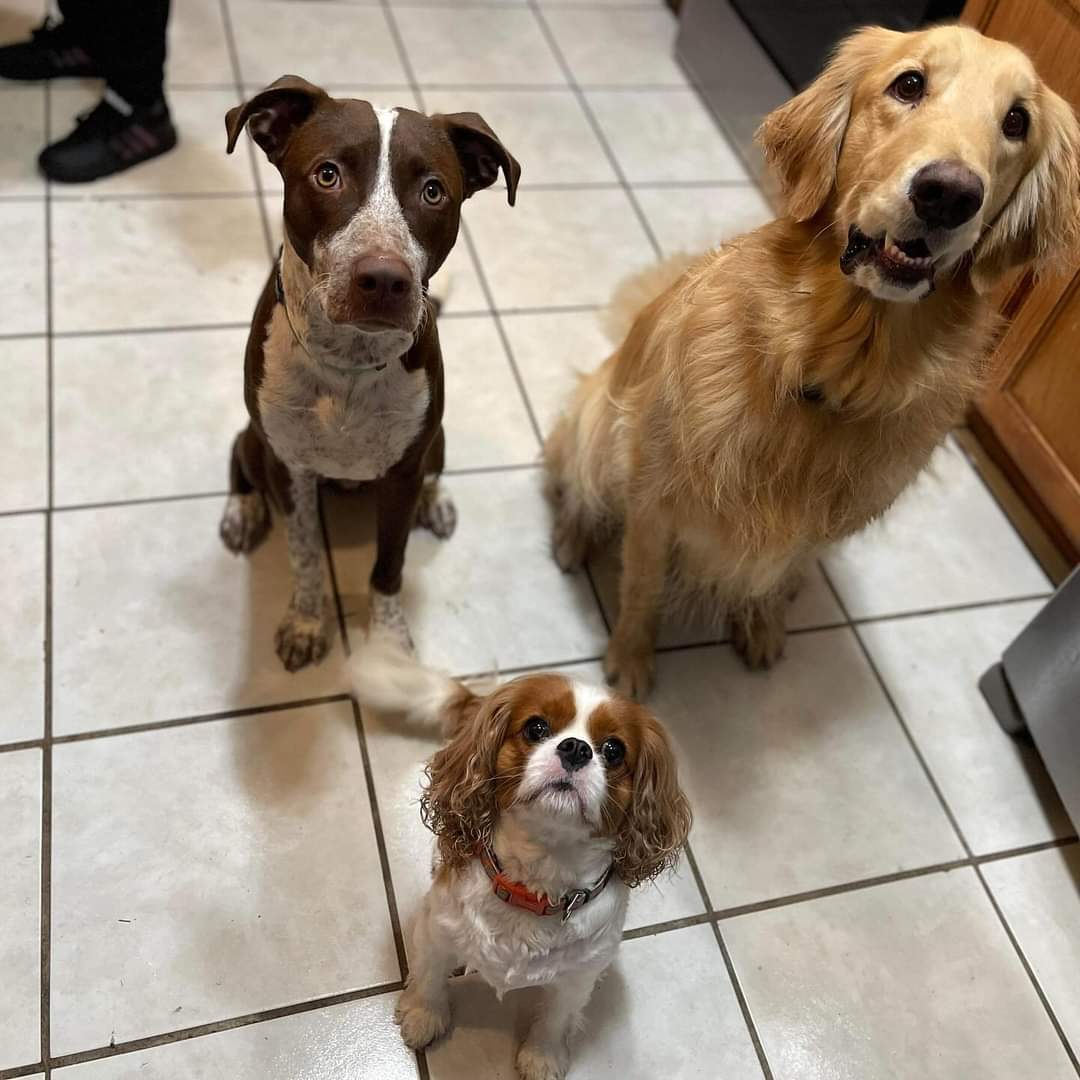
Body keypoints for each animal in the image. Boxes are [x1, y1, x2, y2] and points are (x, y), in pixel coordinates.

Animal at [218, 78, 518, 665]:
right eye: (327, 174)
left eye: (433, 191)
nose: (383, 279)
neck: (350, 362)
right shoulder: (289, 465)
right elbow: (306, 553)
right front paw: (307, 622)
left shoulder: (401, 473)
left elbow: (389, 565)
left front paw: (389, 644)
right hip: (255, 440)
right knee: (240, 459)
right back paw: (242, 511)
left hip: (434, 441)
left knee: (435, 468)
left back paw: (436, 501)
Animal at [354, 635, 691, 1075]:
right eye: (536, 727)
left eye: (614, 750)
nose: (576, 749)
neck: (536, 879)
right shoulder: (436, 927)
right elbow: (430, 976)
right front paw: (424, 1016)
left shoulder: (578, 976)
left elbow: (556, 1017)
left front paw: (542, 1056)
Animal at [548, 29, 1080, 699]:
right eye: (909, 84)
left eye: (1016, 122)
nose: (950, 195)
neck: (835, 369)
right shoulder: (653, 499)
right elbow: (641, 589)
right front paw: (630, 661)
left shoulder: (816, 525)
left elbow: (778, 572)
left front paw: (761, 621)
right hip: (598, 422)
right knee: (576, 484)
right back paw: (573, 537)